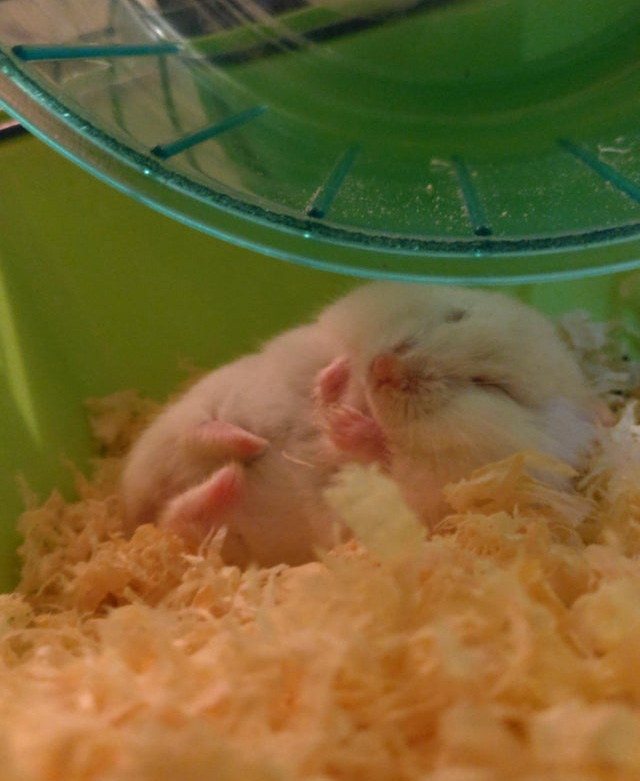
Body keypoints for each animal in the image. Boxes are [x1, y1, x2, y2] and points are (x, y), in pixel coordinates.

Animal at [313, 282, 600, 527]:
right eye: (456, 316)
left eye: (493, 386)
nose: (383, 367)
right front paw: (337, 372)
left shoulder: (434, 491)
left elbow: (388, 464)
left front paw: (343, 423)